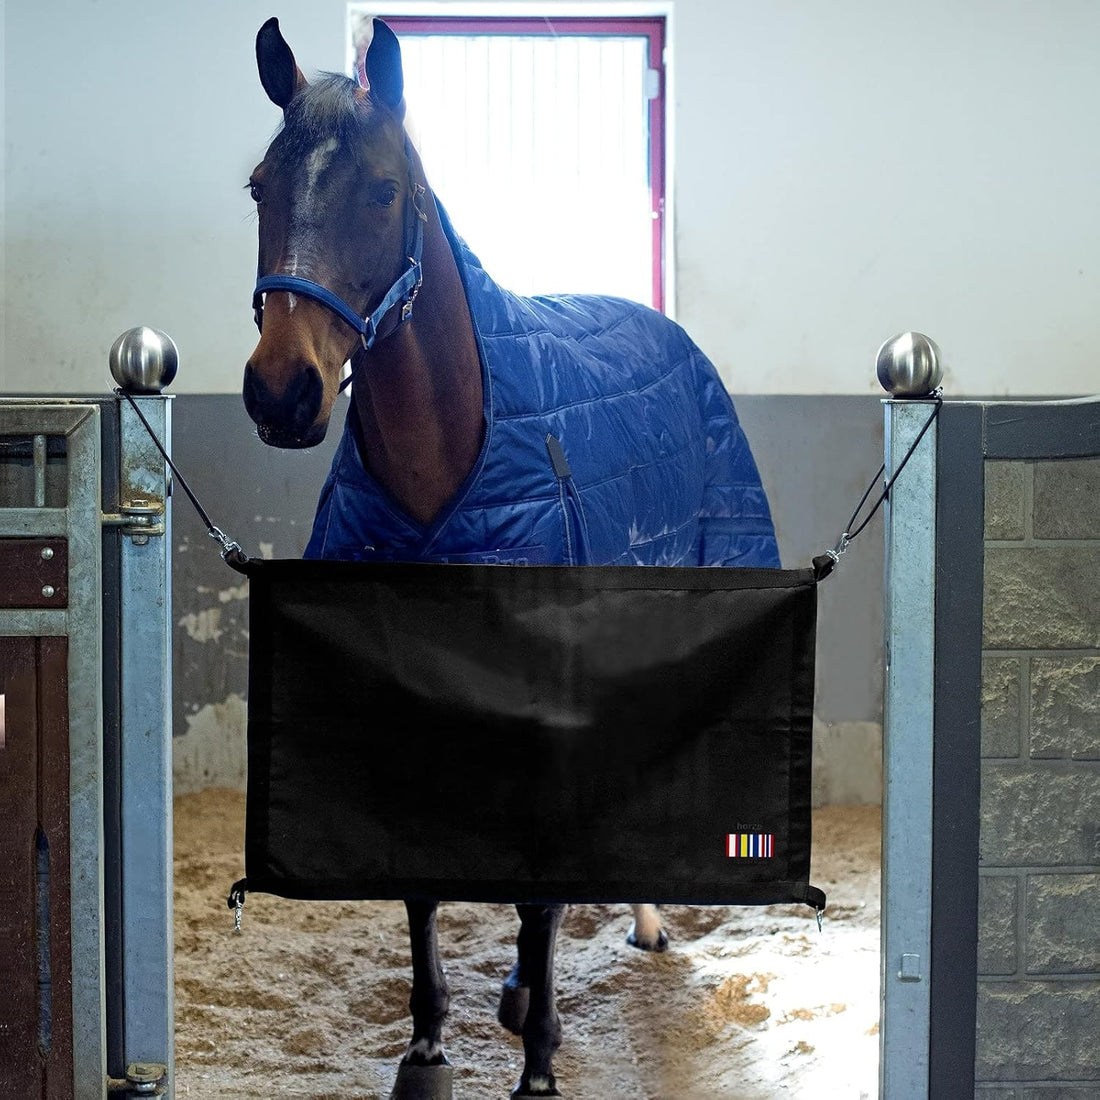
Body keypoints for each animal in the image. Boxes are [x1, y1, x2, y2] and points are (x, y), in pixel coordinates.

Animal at [243, 16, 780, 1100]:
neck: (446, 477)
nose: (282, 389)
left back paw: (637, 925)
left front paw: (534, 1048)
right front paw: (429, 1039)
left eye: (384, 191)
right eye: (259, 188)